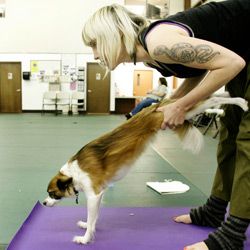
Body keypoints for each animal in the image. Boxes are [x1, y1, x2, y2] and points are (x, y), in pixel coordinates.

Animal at [43, 93, 248, 244]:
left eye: (52, 193)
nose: (43, 203)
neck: (74, 173)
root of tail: (158, 105)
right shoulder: (99, 194)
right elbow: (95, 217)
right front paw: (88, 226)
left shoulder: (93, 195)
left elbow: (92, 215)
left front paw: (85, 239)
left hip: (188, 110)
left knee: (212, 99)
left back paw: (240, 102)